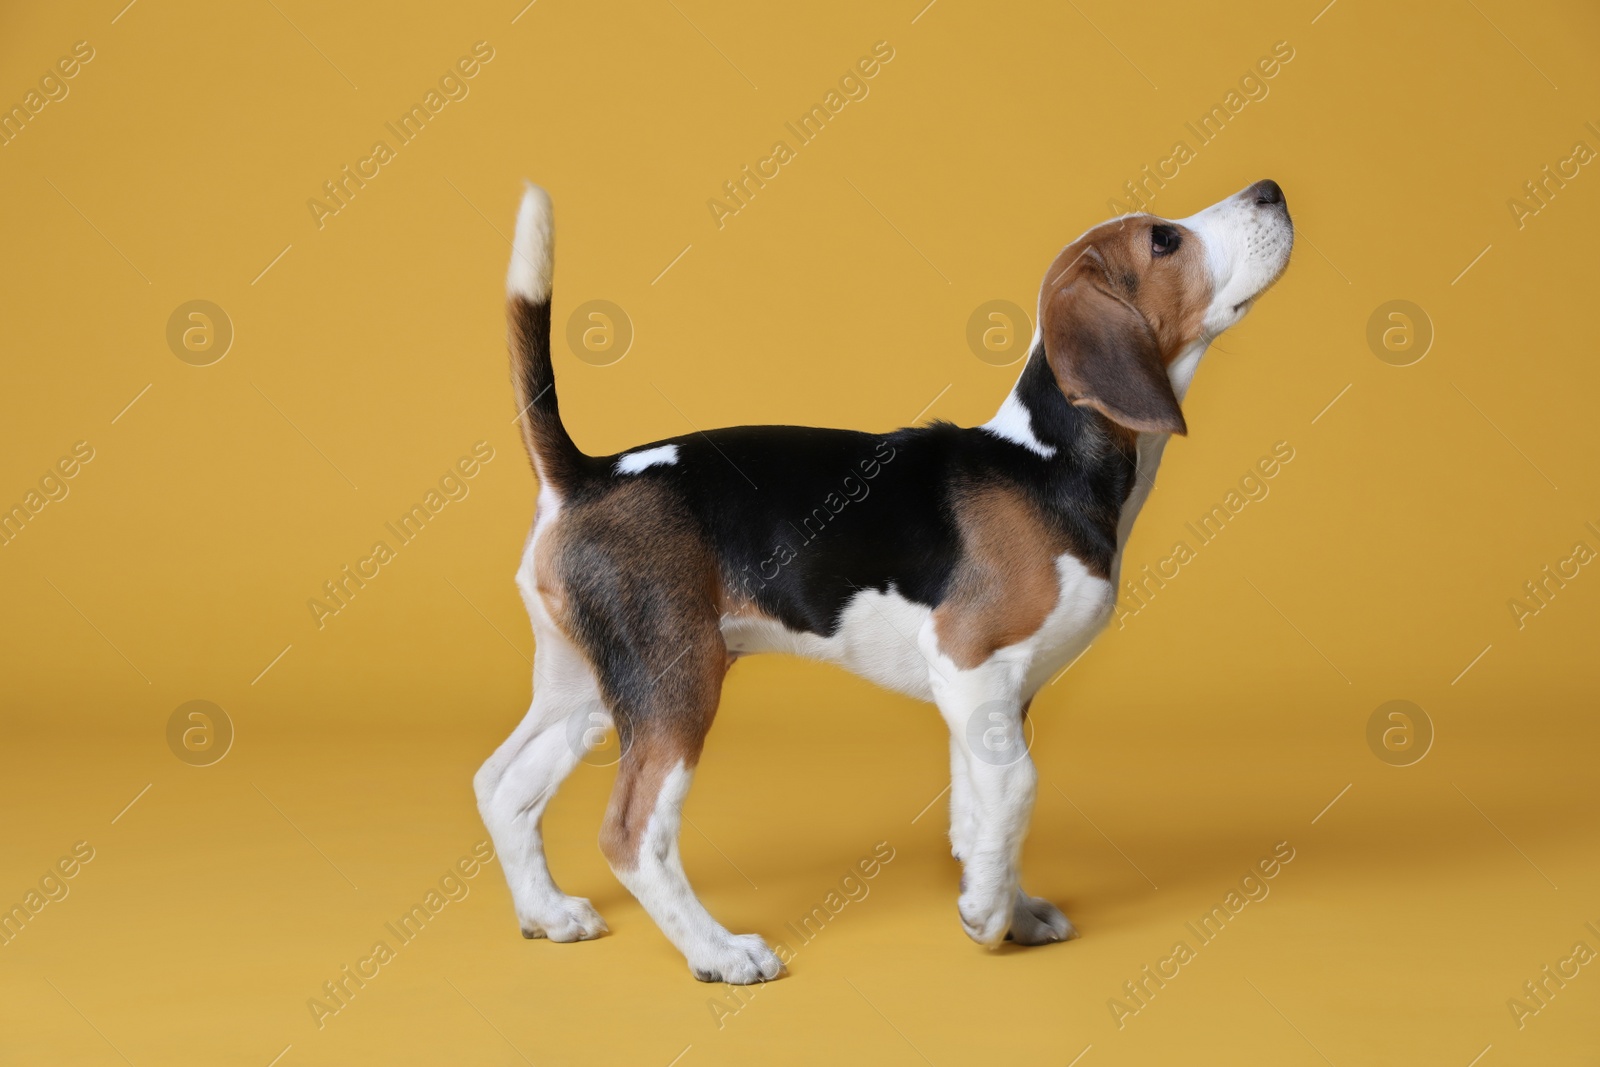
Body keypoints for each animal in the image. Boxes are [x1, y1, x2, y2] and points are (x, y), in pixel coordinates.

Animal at [470, 177, 1286, 985]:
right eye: (1163, 240)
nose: (1271, 190)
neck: (1047, 460)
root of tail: (589, 475)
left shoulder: (987, 696)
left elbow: (981, 807)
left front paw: (1007, 905)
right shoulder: (969, 657)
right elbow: (1018, 789)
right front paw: (987, 913)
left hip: (588, 685)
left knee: (501, 784)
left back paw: (548, 912)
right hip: (677, 679)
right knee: (633, 832)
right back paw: (718, 951)